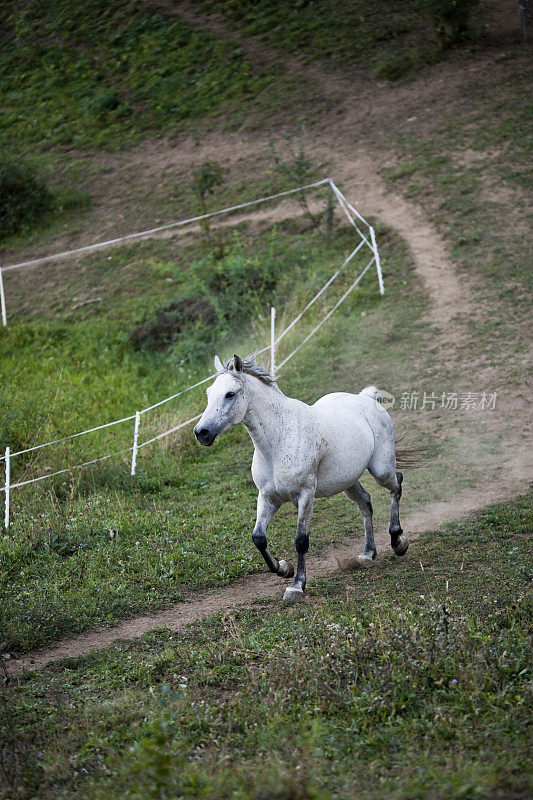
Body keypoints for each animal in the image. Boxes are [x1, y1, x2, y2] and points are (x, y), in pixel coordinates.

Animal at [195, 356, 408, 600]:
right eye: (209, 393)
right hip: (348, 481)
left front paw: (296, 585)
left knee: (396, 484)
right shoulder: (268, 497)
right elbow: (258, 537)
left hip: (381, 469)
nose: (201, 433)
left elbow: (301, 541)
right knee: (366, 502)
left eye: (230, 394)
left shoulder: (305, 496)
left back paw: (398, 542)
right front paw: (283, 569)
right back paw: (367, 554)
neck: (279, 440)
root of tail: (366, 398)